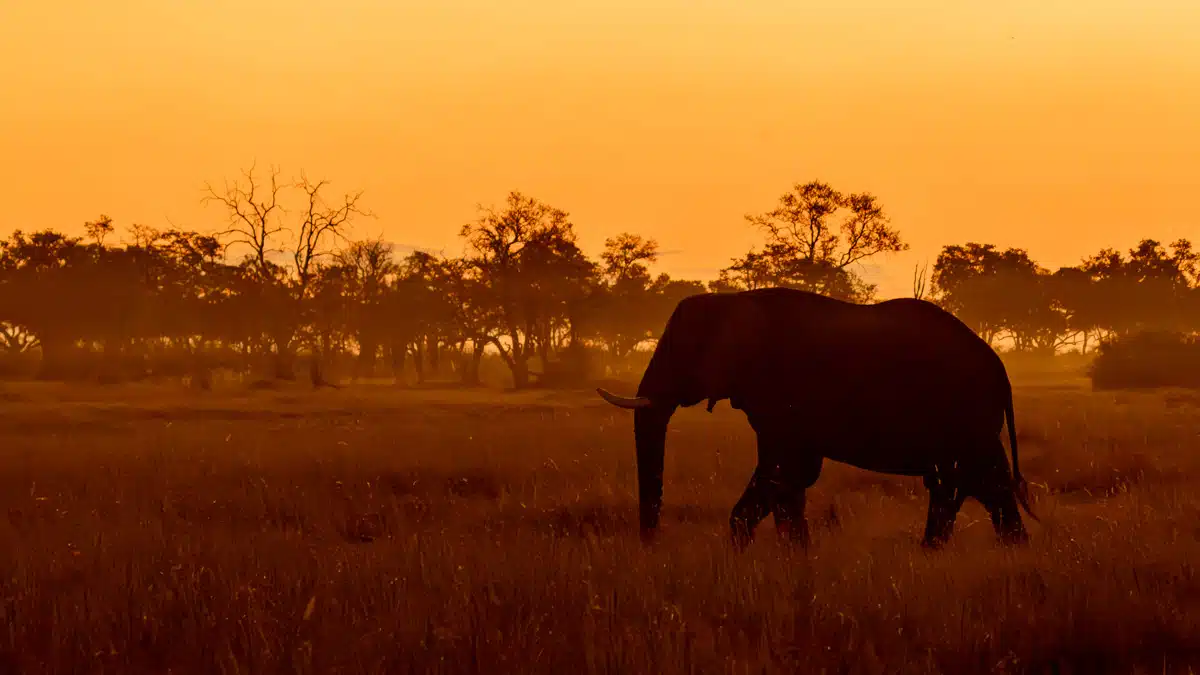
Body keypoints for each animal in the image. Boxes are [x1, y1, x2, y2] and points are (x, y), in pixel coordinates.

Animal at [597, 287, 1038, 550]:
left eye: (678, 351)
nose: (651, 543)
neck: (732, 299)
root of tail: (999, 368)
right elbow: (786, 478)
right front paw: (793, 556)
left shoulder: (785, 394)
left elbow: (783, 472)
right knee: (984, 483)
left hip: (961, 412)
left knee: (958, 482)